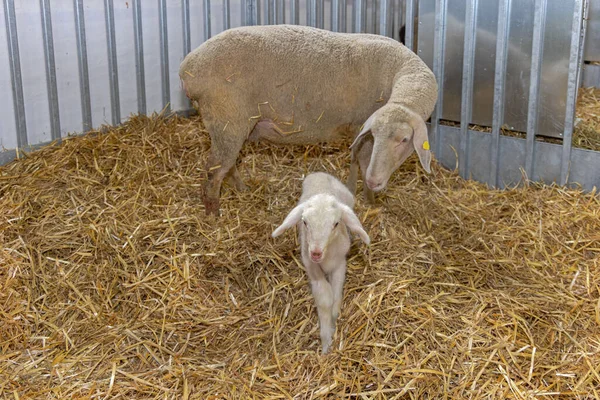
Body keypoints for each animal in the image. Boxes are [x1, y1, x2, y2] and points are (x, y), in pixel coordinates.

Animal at [180, 25, 438, 216]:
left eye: (404, 140)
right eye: (380, 136)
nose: (376, 181)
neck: (402, 74)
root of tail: (187, 68)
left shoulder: (360, 129)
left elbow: (357, 162)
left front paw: (357, 194)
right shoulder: (362, 127)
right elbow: (364, 164)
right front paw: (371, 203)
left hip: (231, 127)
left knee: (228, 164)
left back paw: (241, 189)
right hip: (227, 119)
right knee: (214, 170)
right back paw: (214, 213)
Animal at [272, 172, 370, 354]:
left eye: (336, 223)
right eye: (304, 222)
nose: (316, 252)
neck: (326, 258)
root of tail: (320, 173)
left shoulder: (340, 263)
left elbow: (336, 295)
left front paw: (334, 320)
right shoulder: (311, 266)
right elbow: (325, 297)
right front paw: (326, 341)